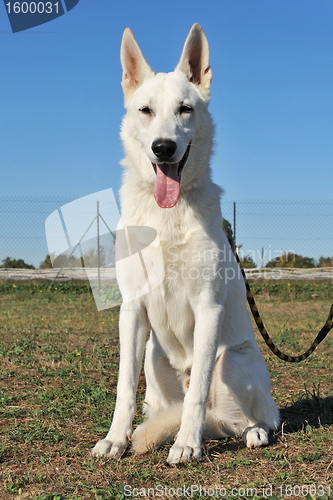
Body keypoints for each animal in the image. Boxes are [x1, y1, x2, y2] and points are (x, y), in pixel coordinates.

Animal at [91, 22, 278, 460]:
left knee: (248, 417)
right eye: (145, 111)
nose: (164, 148)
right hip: (153, 358)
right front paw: (115, 439)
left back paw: (253, 432)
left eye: (185, 109)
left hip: (234, 361)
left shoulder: (208, 307)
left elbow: (196, 398)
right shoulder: (132, 310)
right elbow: (124, 388)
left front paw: (187, 445)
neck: (166, 216)